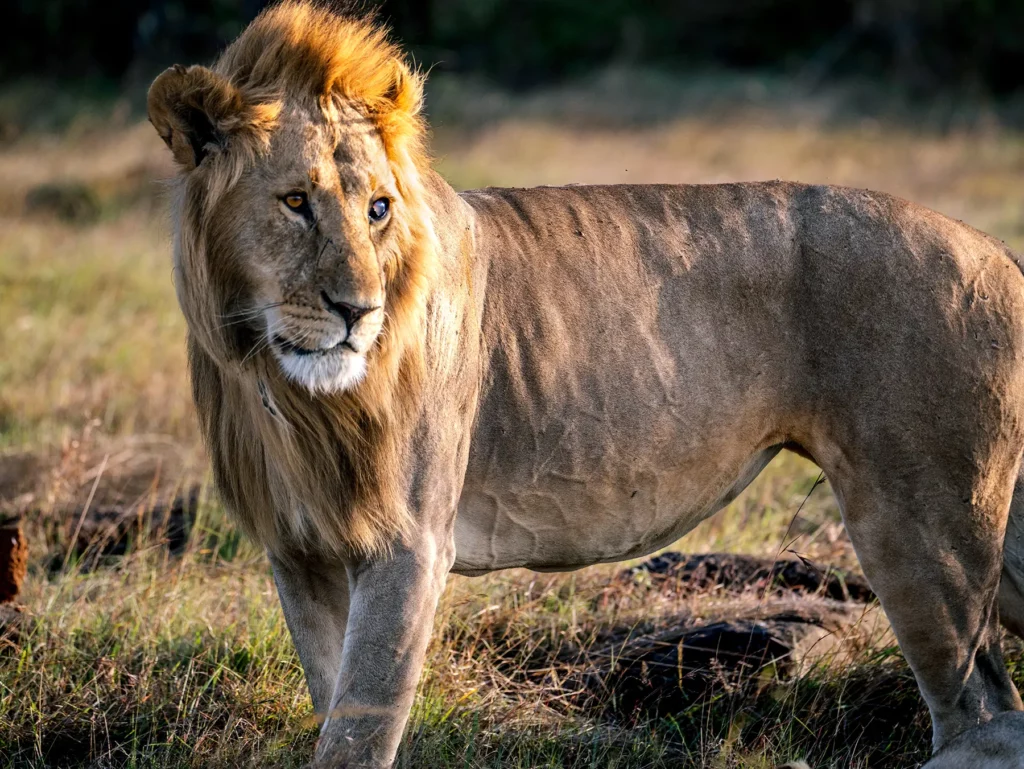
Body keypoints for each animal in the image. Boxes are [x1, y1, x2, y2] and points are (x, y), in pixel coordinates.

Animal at [148, 3, 1024, 767]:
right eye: (295, 202)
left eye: (377, 209)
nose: (358, 311)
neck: (286, 388)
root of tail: (999, 252)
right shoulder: (298, 551)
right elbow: (333, 698)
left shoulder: (409, 542)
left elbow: (359, 729)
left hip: (918, 520)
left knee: (984, 711)